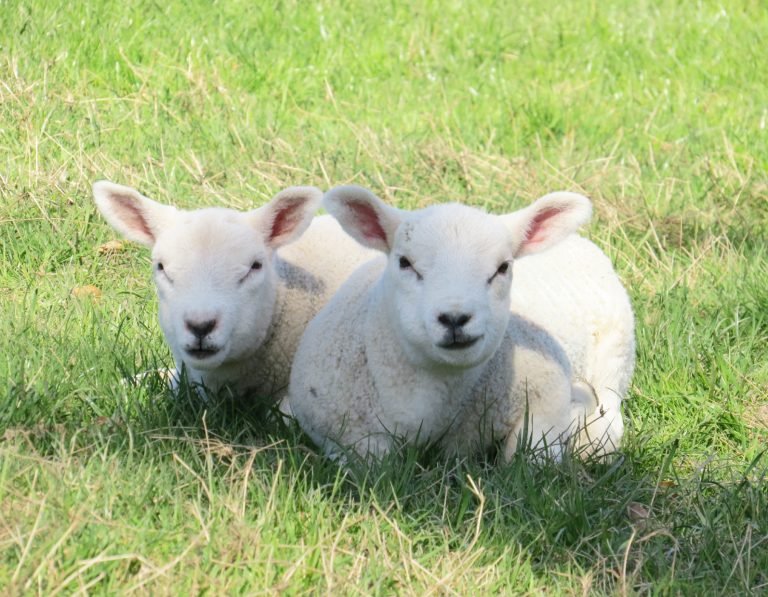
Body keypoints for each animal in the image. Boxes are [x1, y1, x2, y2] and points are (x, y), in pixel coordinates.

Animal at [288, 185, 635, 460]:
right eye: (405, 262)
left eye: (503, 267)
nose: (455, 318)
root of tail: (579, 240)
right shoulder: (333, 427)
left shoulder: (546, 395)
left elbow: (530, 458)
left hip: (616, 353)